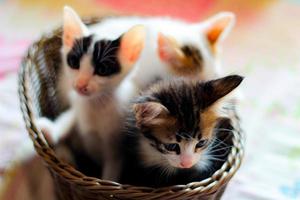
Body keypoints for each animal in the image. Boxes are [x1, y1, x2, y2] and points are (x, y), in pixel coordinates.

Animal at [35, 7, 146, 180]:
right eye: (74, 62)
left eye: (102, 70)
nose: (81, 84)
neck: (95, 105)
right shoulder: (78, 107)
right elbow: (69, 117)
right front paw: (52, 130)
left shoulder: (116, 148)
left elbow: (111, 172)